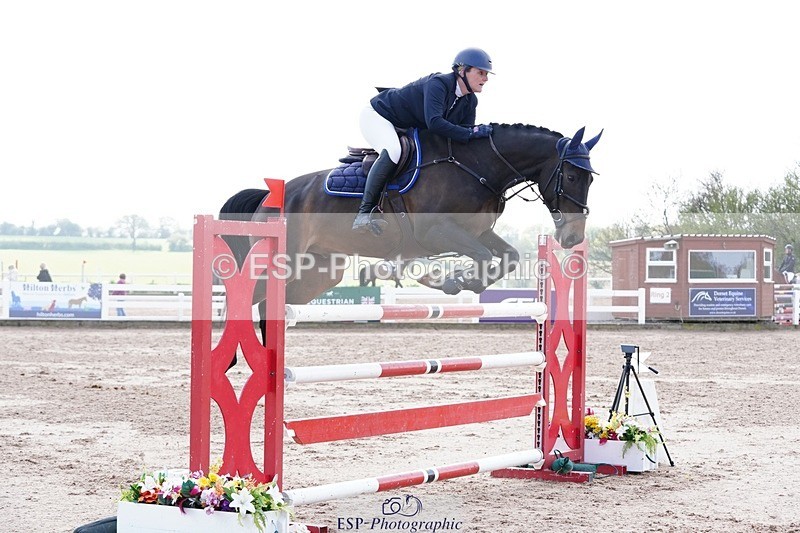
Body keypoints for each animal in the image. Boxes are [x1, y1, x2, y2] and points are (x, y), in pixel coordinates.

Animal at [220, 123, 601, 311]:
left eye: (590, 179)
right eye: (570, 176)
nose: (572, 238)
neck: (477, 165)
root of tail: (267, 197)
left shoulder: (475, 231)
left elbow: (508, 256)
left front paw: (466, 282)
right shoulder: (435, 232)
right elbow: (481, 256)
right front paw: (454, 280)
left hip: (321, 272)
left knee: (273, 304)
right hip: (282, 262)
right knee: (247, 299)